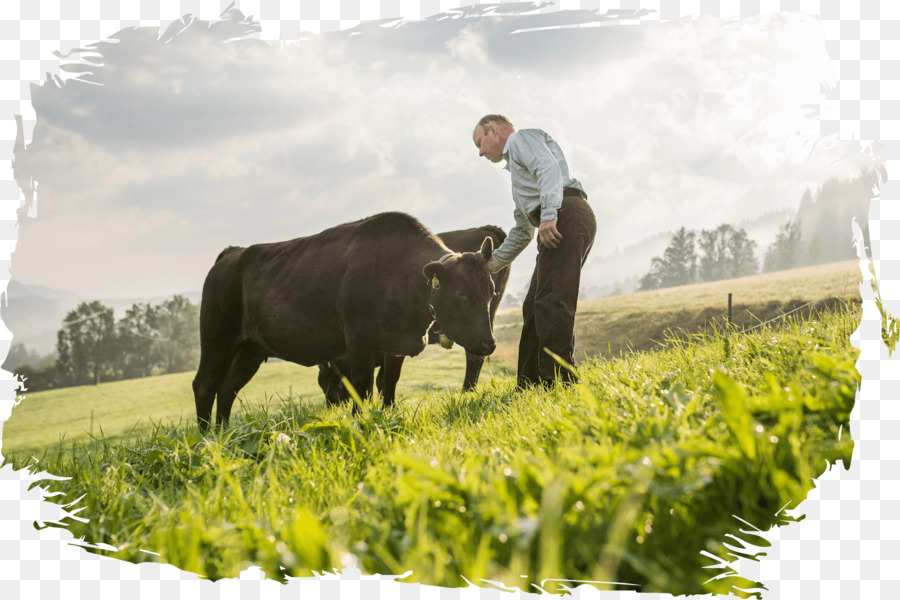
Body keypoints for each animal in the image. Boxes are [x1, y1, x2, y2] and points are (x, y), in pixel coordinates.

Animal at [193, 213, 500, 428]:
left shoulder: (395, 346)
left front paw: (387, 414)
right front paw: (359, 420)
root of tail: (233, 253)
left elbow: (389, 383)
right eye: (460, 294)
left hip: (250, 350)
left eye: (490, 291)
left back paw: (225, 433)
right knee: (205, 385)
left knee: (227, 388)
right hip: (217, 340)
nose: (488, 344)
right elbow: (361, 386)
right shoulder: (357, 341)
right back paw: (207, 438)